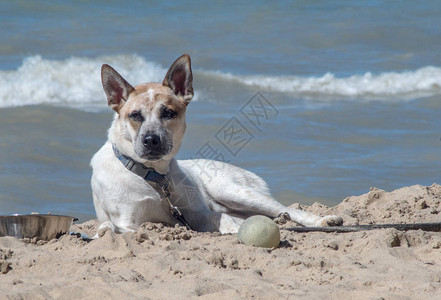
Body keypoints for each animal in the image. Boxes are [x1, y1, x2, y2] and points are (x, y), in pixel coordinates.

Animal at [90, 54, 344, 236]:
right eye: (135, 115)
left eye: (168, 113)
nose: (151, 140)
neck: (154, 176)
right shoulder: (129, 222)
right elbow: (110, 227)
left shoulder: (198, 212)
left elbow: (221, 219)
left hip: (233, 190)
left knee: (288, 209)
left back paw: (322, 220)